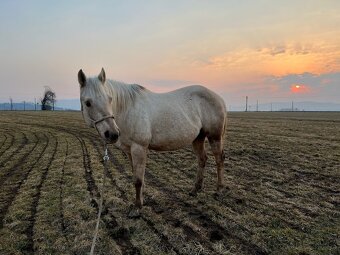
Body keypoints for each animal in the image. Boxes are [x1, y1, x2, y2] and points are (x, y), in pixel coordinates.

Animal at [77, 68, 226, 210]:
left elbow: (138, 180)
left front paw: (137, 207)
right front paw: (141, 200)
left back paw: (218, 190)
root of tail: (219, 98)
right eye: (88, 103)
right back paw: (195, 190)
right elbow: (136, 176)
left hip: (215, 137)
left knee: (219, 160)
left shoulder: (139, 148)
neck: (127, 109)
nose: (113, 134)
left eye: (110, 99)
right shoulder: (130, 151)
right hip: (198, 138)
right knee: (202, 159)